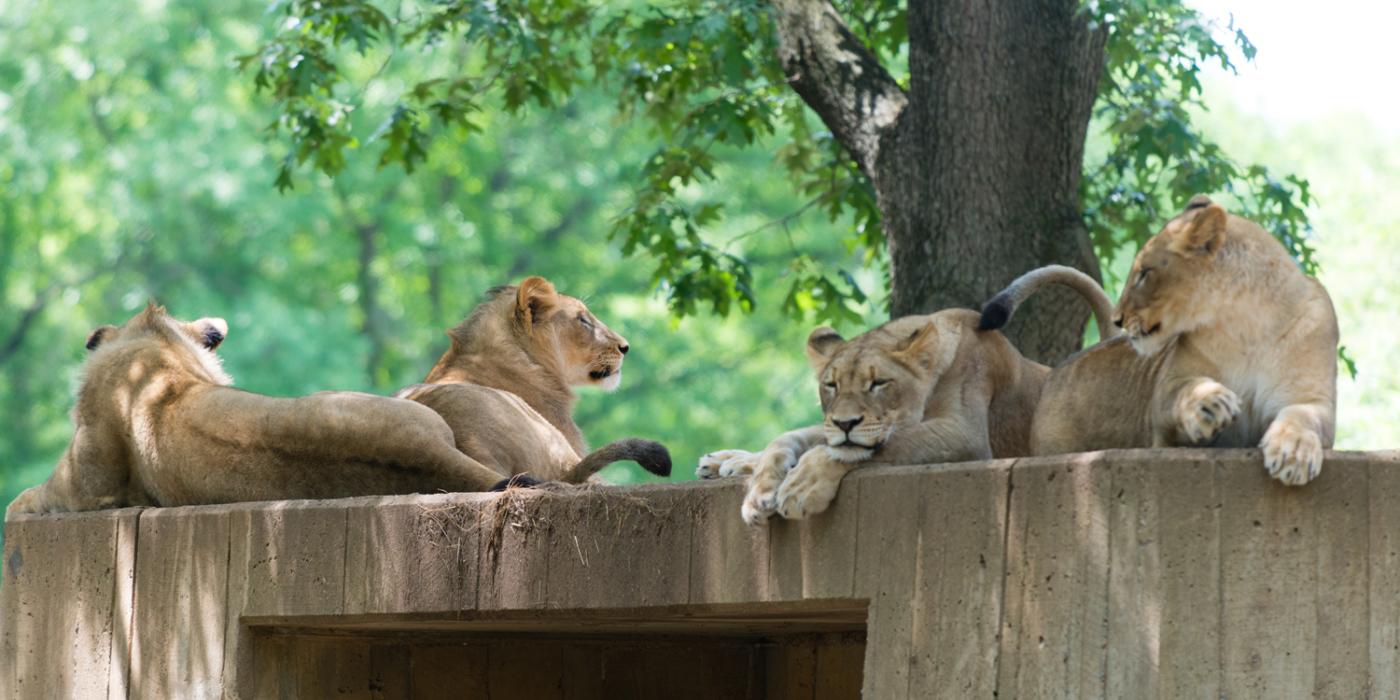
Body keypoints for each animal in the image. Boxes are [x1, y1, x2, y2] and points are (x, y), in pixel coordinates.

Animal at [705, 267, 1120, 526]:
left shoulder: (965, 435)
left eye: (878, 383)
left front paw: (802, 486)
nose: (845, 422)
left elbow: (880, 445)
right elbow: (788, 439)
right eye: (831, 385)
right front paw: (760, 492)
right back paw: (724, 461)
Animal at [980, 194, 1338, 484]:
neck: (1244, 325)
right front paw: (1207, 404)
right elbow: (1181, 392)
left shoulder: (1311, 397)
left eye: (1144, 273)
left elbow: (1302, 417)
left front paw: (1293, 453)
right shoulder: (1164, 409)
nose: (1118, 318)